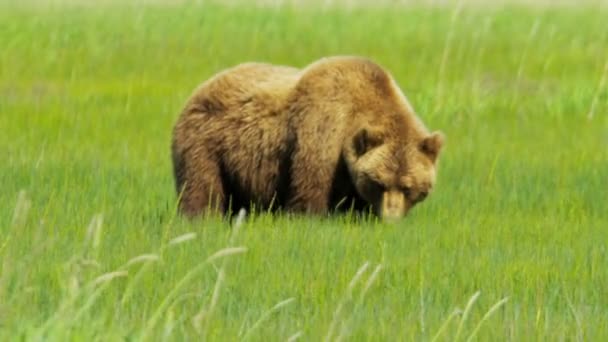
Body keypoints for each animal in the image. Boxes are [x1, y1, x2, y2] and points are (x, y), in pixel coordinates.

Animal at [169, 55, 444, 222]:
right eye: (379, 183)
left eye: (407, 186)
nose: (390, 217)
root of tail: (201, 87)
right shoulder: (321, 130)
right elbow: (309, 187)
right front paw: (309, 218)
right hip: (206, 142)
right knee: (202, 187)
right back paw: (200, 218)